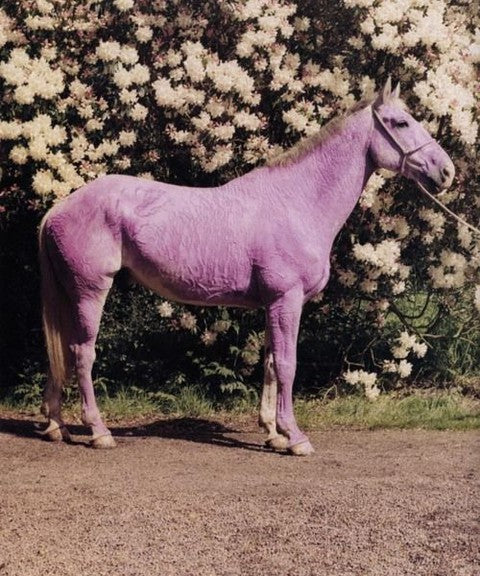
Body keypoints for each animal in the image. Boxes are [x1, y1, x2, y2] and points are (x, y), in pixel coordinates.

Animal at [38, 80, 454, 454]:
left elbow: (269, 364)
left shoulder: (272, 303)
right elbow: (287, 364)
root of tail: (58, 209)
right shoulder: (287, 299)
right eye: (400, 122)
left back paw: (57, 425)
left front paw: (272, 433)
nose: (445, 171)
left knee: (61, 351)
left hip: (71, 294)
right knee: (82, 353)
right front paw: (295, 438)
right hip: (91, 291)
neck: (297, 202)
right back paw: (98, 431)